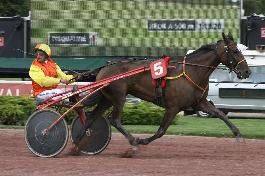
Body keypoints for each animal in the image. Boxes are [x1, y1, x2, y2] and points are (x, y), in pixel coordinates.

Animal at [74, 32, 250, 151]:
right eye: (235, 51)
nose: (247, 71)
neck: (192, 71)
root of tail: (104, 68)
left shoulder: (200, 103)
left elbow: (220, 114)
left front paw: (238, 135)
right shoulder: (173, 107)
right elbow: (161, 131)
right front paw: (142, 141)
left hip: (107, 98)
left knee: (91, 118)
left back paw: (76, 144)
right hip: (119, 96)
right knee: (114, 119)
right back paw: (133, 142)